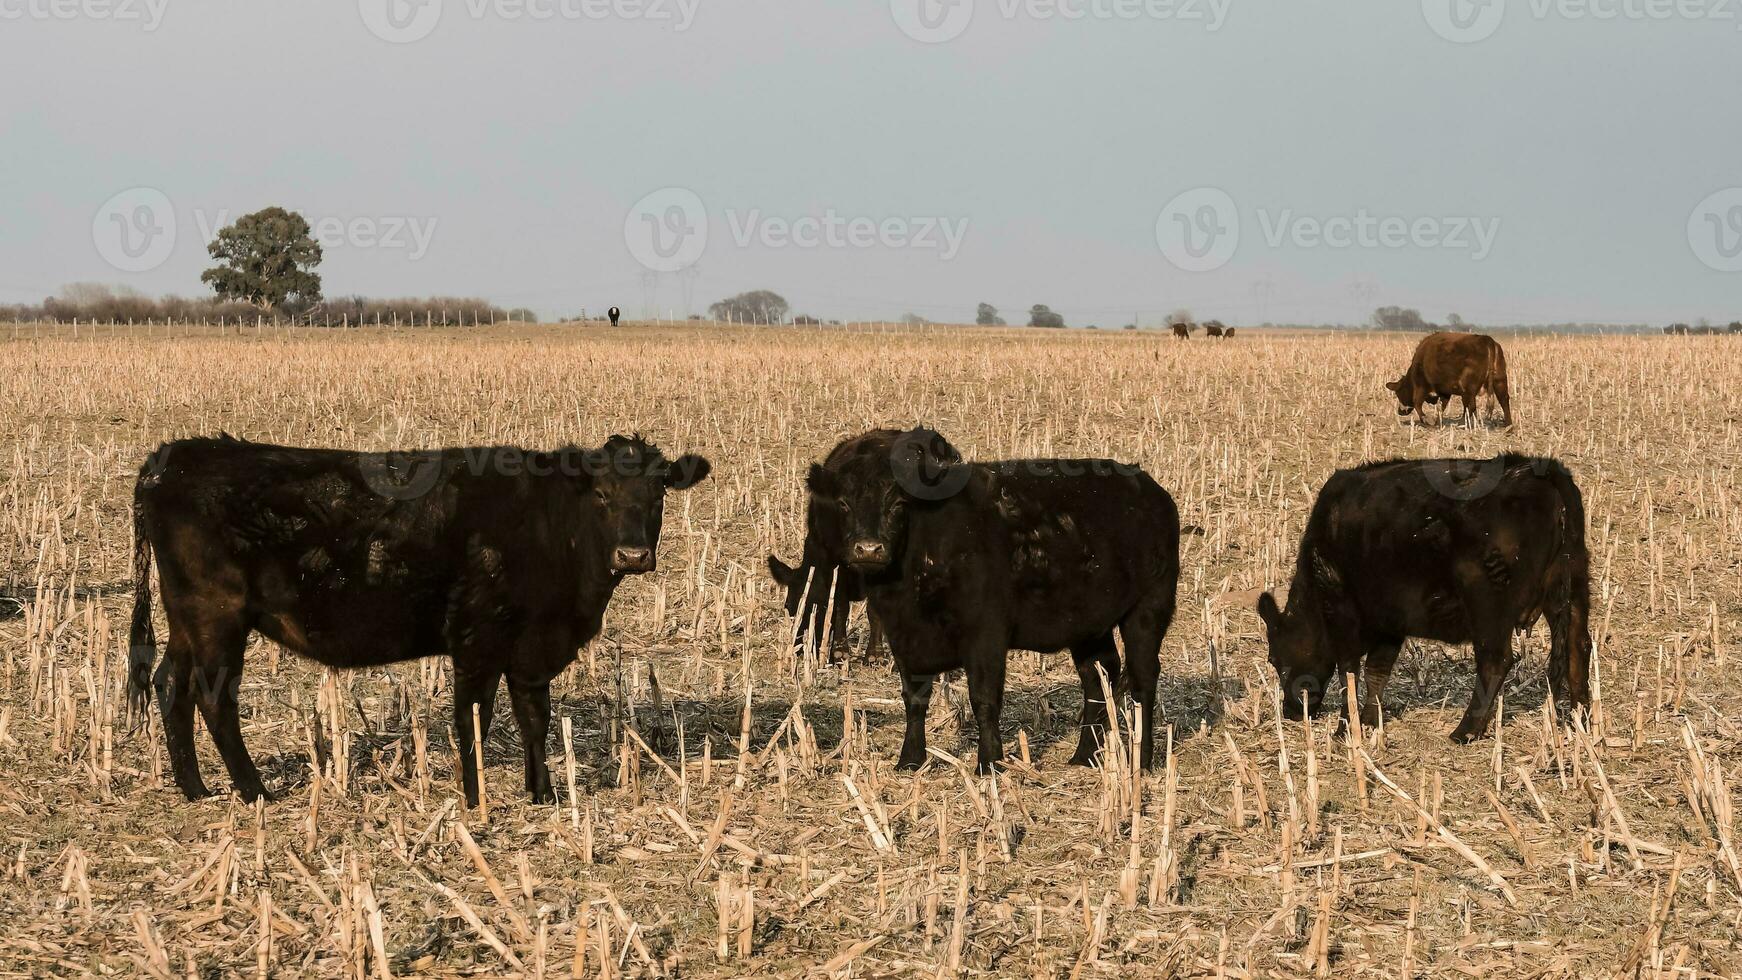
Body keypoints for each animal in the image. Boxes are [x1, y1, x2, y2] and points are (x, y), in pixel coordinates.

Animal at [126, 435, 714, 804]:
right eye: (602, 494)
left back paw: (196, 789)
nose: (633, 555)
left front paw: (543, 795)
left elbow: (535, 719)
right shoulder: (476, 638)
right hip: (217, 614)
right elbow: (472, 719)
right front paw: (475, 801)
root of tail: (173, 456)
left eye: (659, 493)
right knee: (213, 697)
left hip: (187, 618)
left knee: (170, 685)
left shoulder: (530, 648)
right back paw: (255, 793)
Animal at [808, 429, 1177, 776]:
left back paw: (1142, 761)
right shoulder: (905, 640)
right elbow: (914, 700)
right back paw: (1084, 756)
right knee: (1099, 677)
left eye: (898, 504)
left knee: (1142, 681)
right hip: (1088, 625)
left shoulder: (985, 636)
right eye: (843, 504)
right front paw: (910, 760)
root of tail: (1152, 491)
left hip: (1148, 610)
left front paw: (989, 763)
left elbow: (983, 699)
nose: (869, 549)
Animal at [1254, 459, 1595, 745]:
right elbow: (1377, 671)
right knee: (1578, 648)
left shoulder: (1343, 613)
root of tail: (1539, 469)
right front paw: (1369, 720)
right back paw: (1581, 719)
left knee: (1496, 660)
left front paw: (1345, 729)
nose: (1291, 711)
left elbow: (1348, 672)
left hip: (1487, 602)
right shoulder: (1389, 621)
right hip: (1576, 586)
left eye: (1274, 659)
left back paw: (1465, 731)